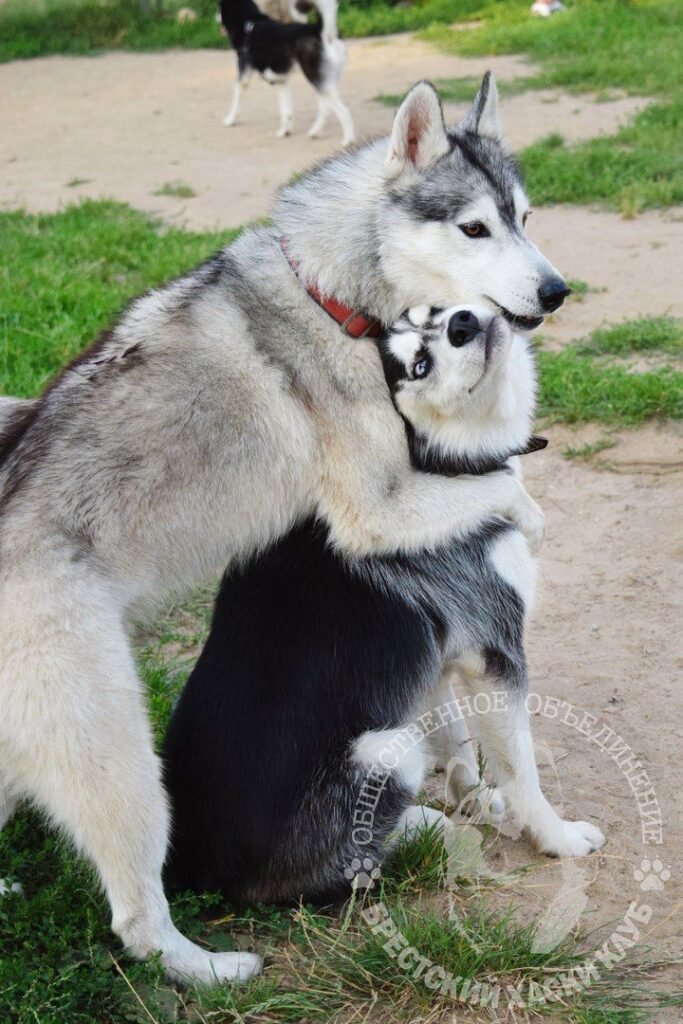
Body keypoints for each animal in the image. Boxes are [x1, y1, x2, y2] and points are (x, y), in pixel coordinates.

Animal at [220, 0, 358, 144]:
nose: (216, 17)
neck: (249, 22)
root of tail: (320, 31)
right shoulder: (281, 81)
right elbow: (286, 111)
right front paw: (285, 131)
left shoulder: (244, 76)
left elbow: (236, 97)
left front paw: (230, 120)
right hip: (323, 81)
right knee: (325, 108)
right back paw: (315, 132)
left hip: (315, 78)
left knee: (342, 110)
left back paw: (348, 140)